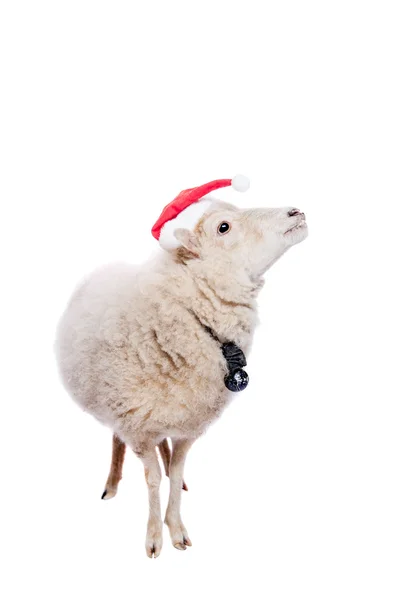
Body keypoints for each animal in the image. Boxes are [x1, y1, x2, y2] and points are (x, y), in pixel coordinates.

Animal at [54, 177, 308, 556]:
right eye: (223, 227)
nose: (296, 211)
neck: (188, 315)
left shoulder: (189, 424)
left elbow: (172, 472)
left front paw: (175, 527)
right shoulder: (137, 426)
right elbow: (154, 479)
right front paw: (154, 538)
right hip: (115, 404)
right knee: (117, 439)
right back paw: (111, 484)